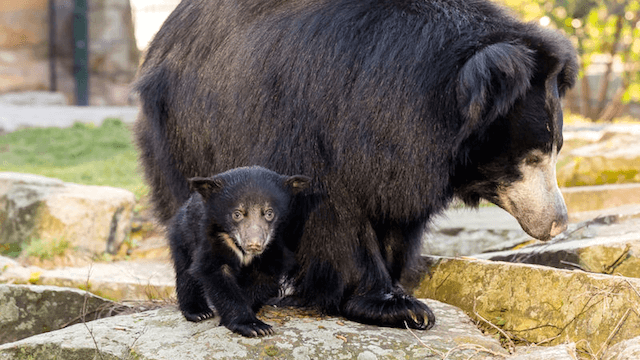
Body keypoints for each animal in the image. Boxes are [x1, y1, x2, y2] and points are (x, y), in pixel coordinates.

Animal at [135, 0, 580, 330]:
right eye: (532, 157)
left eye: (556, 149)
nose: (557, 223)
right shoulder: (312, 119)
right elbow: (332, 216)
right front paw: (393, 306)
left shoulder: (402, 158)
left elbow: (396, 212)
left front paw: (399, 289)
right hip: (184, 130)